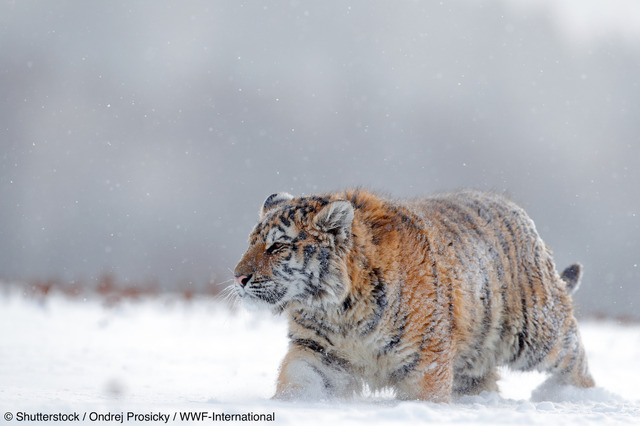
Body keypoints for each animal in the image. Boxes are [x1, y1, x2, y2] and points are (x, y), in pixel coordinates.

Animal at [231, 190, 596, 402]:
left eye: (277, 246)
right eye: (251, 242)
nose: (238, 277)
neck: (338, 311)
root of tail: (519, 212)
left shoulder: (426, 359)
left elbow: (425, 398)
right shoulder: (318, 351)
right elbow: (298, 382)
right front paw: (289, 407)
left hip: (535, 334)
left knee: (574, 353)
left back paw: (576, 397)